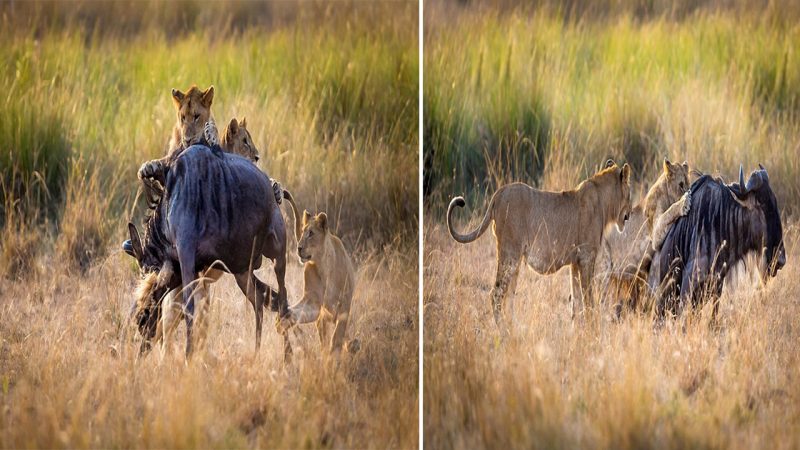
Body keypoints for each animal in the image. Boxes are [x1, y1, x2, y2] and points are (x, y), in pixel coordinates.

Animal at [278, 209, 360, 354]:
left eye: (311, 233)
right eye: (303, 231)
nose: (299, 248)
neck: (323, 265)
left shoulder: (344, 306)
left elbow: (338, 335)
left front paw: (335, 354)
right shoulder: (313, 302)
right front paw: (283, 320)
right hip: (322, 316)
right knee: (322, 331)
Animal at [450, 159, 632, 326]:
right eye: (630, 194)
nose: (630, 213)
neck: (605, 202)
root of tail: (499, 193)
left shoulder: (575, 262)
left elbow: (576, 301)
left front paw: (577, 329)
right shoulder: (587, 258)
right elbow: (588, 299)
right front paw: (592, 328)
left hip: (514, 261)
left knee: (508, 298)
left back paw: (515, 330)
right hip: (510, 254)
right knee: (496, 294)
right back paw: (503, 331)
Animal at [600, 158, 692, 312]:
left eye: (688, 183)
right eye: (681, 185)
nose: (689, 191)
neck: (664, 192)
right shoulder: (655, 232)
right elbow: (668, 214)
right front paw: (684, 202)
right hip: (602, 270)